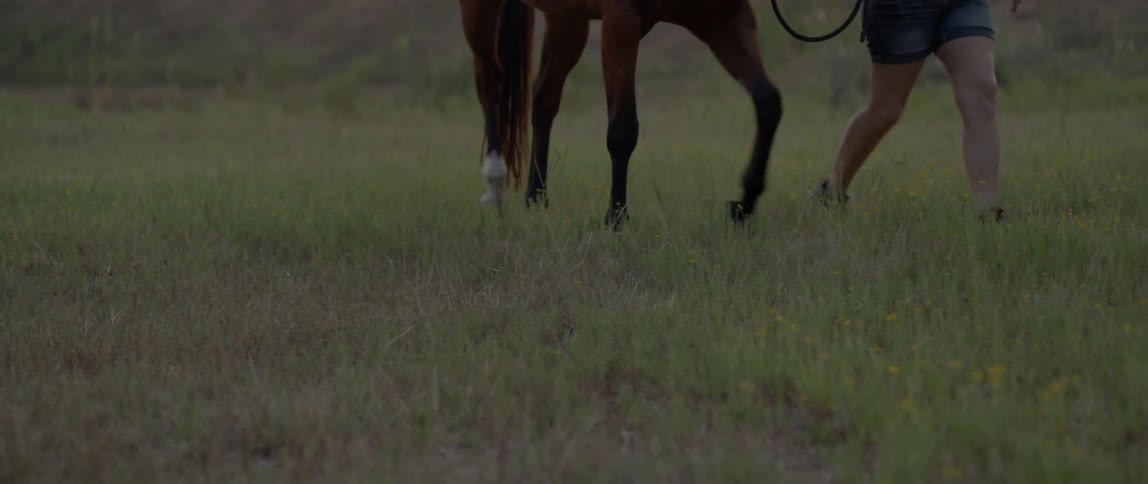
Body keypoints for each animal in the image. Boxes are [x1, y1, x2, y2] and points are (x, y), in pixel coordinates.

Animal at [460, 0, 784, 228]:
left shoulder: (726, 18)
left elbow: (768, 103)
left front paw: (745, 204)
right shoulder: (621, 22)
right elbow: (623, 130)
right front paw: (615, 217)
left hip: (567, 20)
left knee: (543, 100)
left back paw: (536, 198)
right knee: (490, 83)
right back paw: (495, 185)